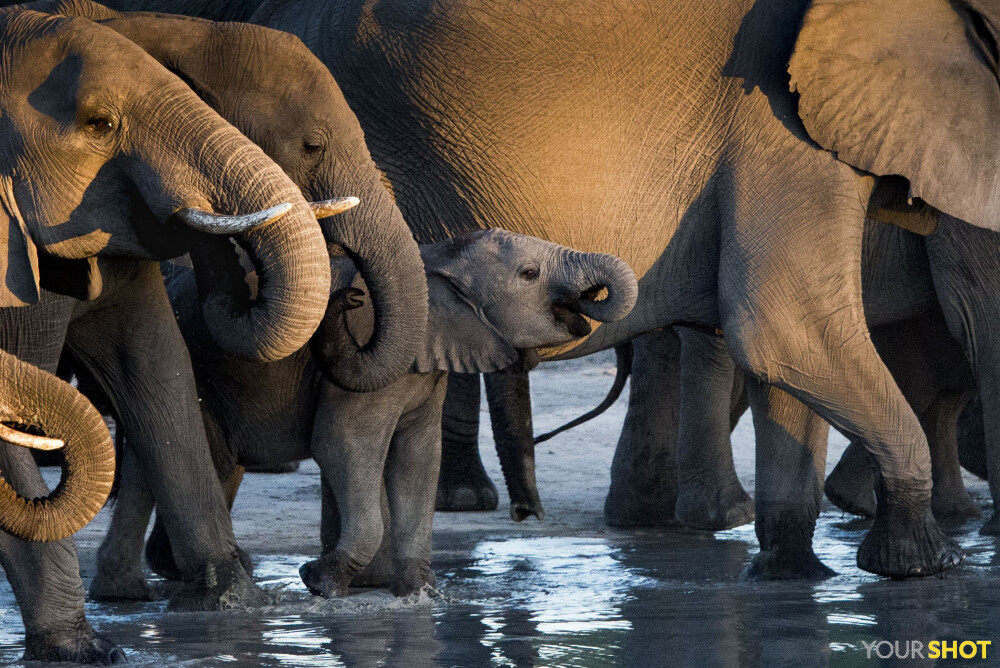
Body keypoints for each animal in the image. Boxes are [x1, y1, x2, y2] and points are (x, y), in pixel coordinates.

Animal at [143, 227, 632, 596]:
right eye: (529, 274)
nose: (523, 517)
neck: (434, 258)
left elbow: (418, 458)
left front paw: (421, 593)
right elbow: (342, 445)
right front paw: (318, 581)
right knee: (212, 457)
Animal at [240, 0, 1000, 580]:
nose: (528, 517)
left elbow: (790, 349)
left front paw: (794, 576)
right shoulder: (780, 128)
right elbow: (784, 324)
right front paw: (922, 566)